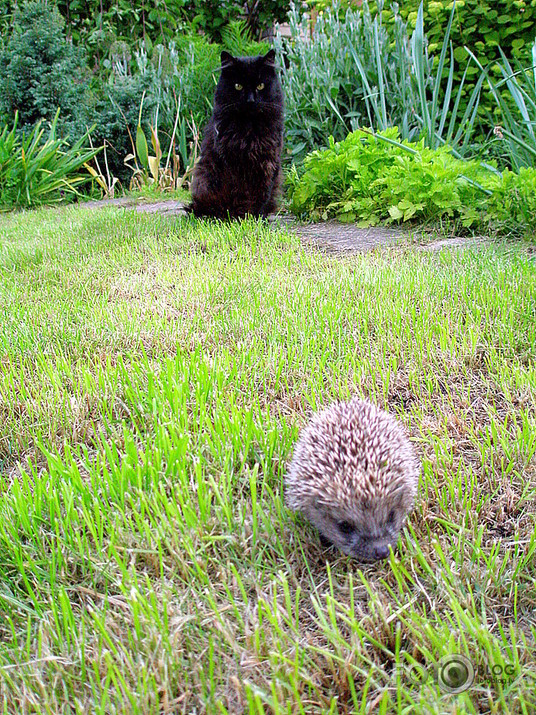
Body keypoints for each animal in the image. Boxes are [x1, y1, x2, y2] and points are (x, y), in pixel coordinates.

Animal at [188, 49, 284, 220]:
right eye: (238, 86)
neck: (250, 131)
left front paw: (256, 219)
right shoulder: (234, 165)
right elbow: (240, 194)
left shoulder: (268, 162)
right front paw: (240, 218)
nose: (250, 101)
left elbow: (262, 195)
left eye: (260, 85)